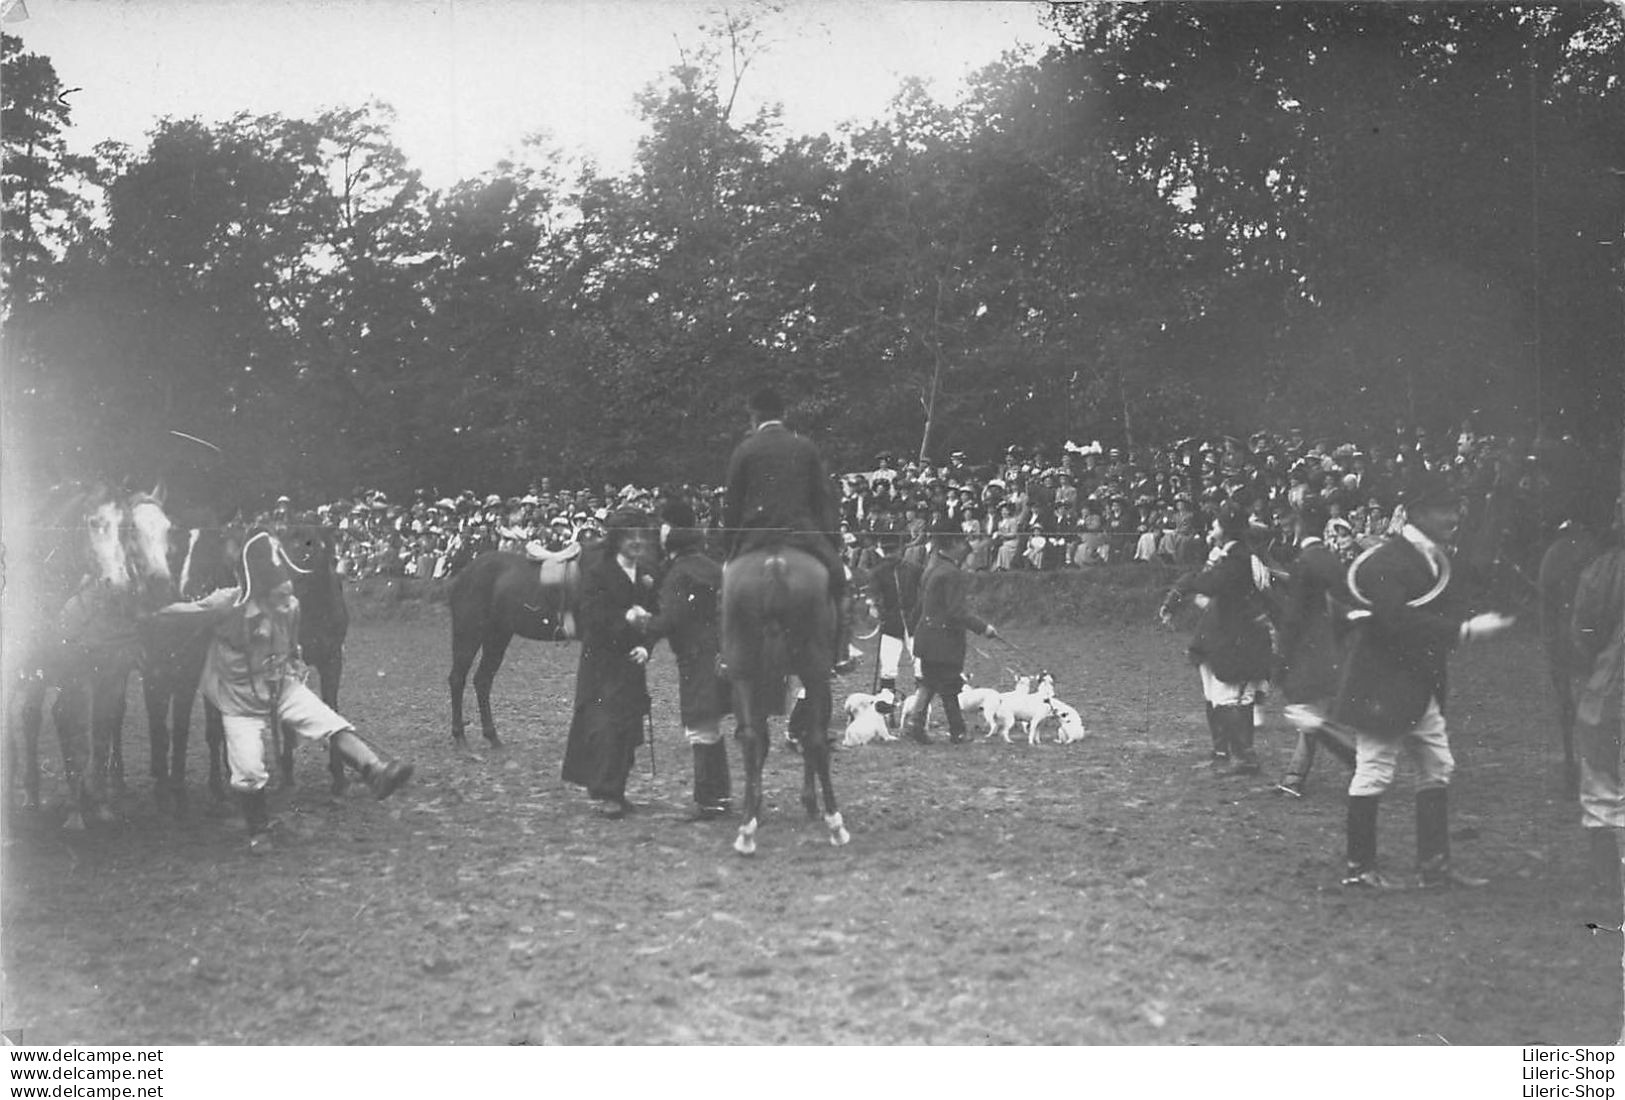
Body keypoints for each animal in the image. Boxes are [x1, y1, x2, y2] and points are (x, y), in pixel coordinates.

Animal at [7, 480, 176, 825]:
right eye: (133, 530)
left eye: (168, 528)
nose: (161, 583)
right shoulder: (77, 674)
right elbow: (76, 730)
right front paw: (78, 808)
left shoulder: (119, 669)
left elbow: (106, 724)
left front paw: (102, 799)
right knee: (32, 719)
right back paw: (31, 794)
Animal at [451, 549, 585, 747]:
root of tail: (464, 574)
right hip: (469, 634)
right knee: (457, 679)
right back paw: (460, 736)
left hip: (497, 637)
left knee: (482, 680)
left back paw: (492, 737)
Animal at [724, 545, 851, 851]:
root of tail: (775, 564)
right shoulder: (818, 679)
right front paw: (810, 801)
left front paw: (755, 806)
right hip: (815, 671)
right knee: (815, 739)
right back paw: (835, 824)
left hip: (744, 673)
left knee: (751, 738)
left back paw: (747, 830)